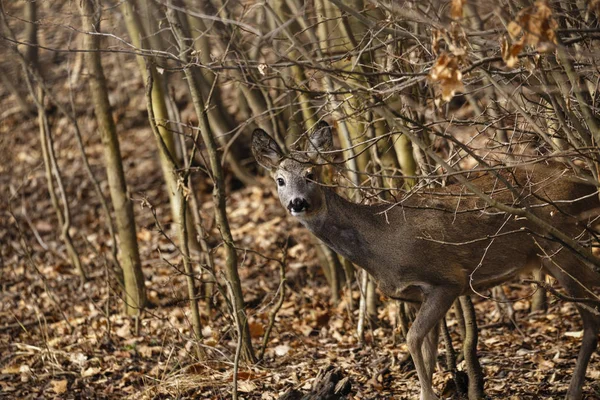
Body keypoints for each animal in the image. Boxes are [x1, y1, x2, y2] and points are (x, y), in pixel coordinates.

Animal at [253, 122, 600, 400]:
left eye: (311, 174)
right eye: (280, 180)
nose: (297, 202)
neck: (379, 243)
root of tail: (586, 183)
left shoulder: (447, 280)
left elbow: (411, 339)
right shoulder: (419, 294)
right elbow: (428, 349)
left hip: (563, 247)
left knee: (592, 318)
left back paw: (572, 392)